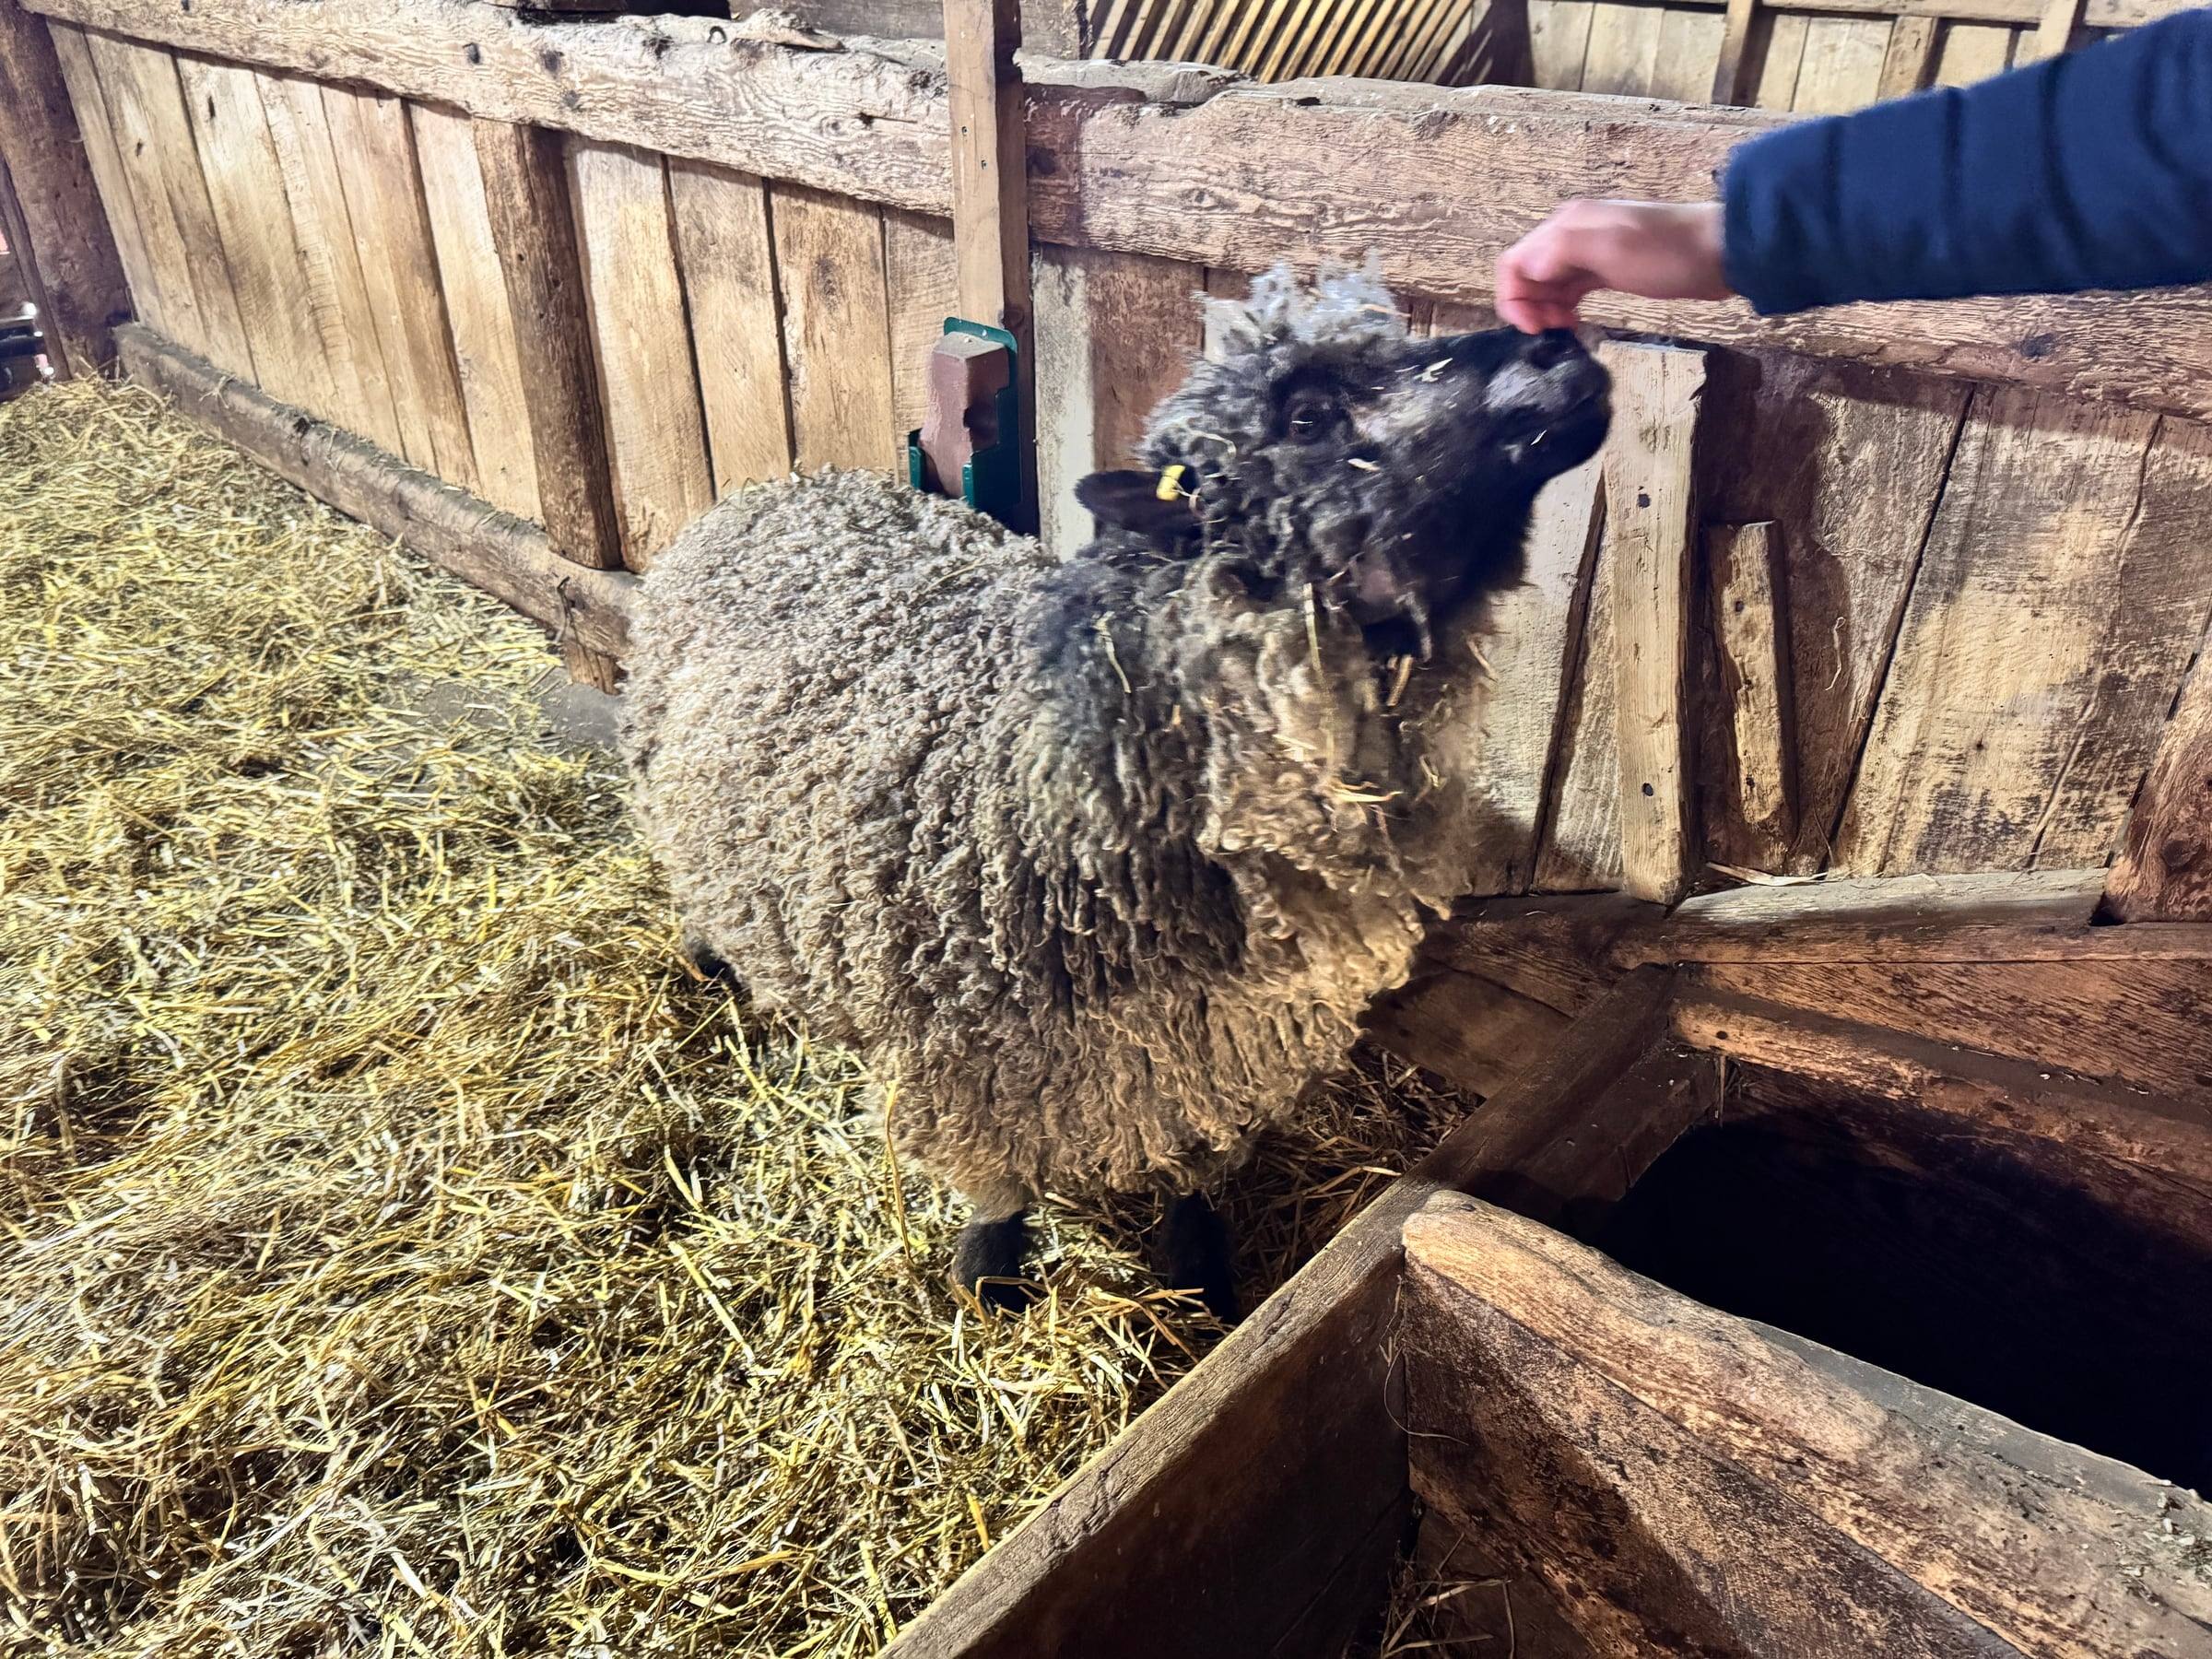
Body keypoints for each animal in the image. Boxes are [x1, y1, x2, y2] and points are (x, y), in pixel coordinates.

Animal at [619, 263, 1611, 1317]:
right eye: (1305, 415)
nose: (1561, 347)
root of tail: (785, 485)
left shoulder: (1218, 1048)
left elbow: (1192, 1170)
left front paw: (1201, 1269)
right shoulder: (974, 1053)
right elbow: (999, 1180)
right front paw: (990, 1271)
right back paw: (710, 964)